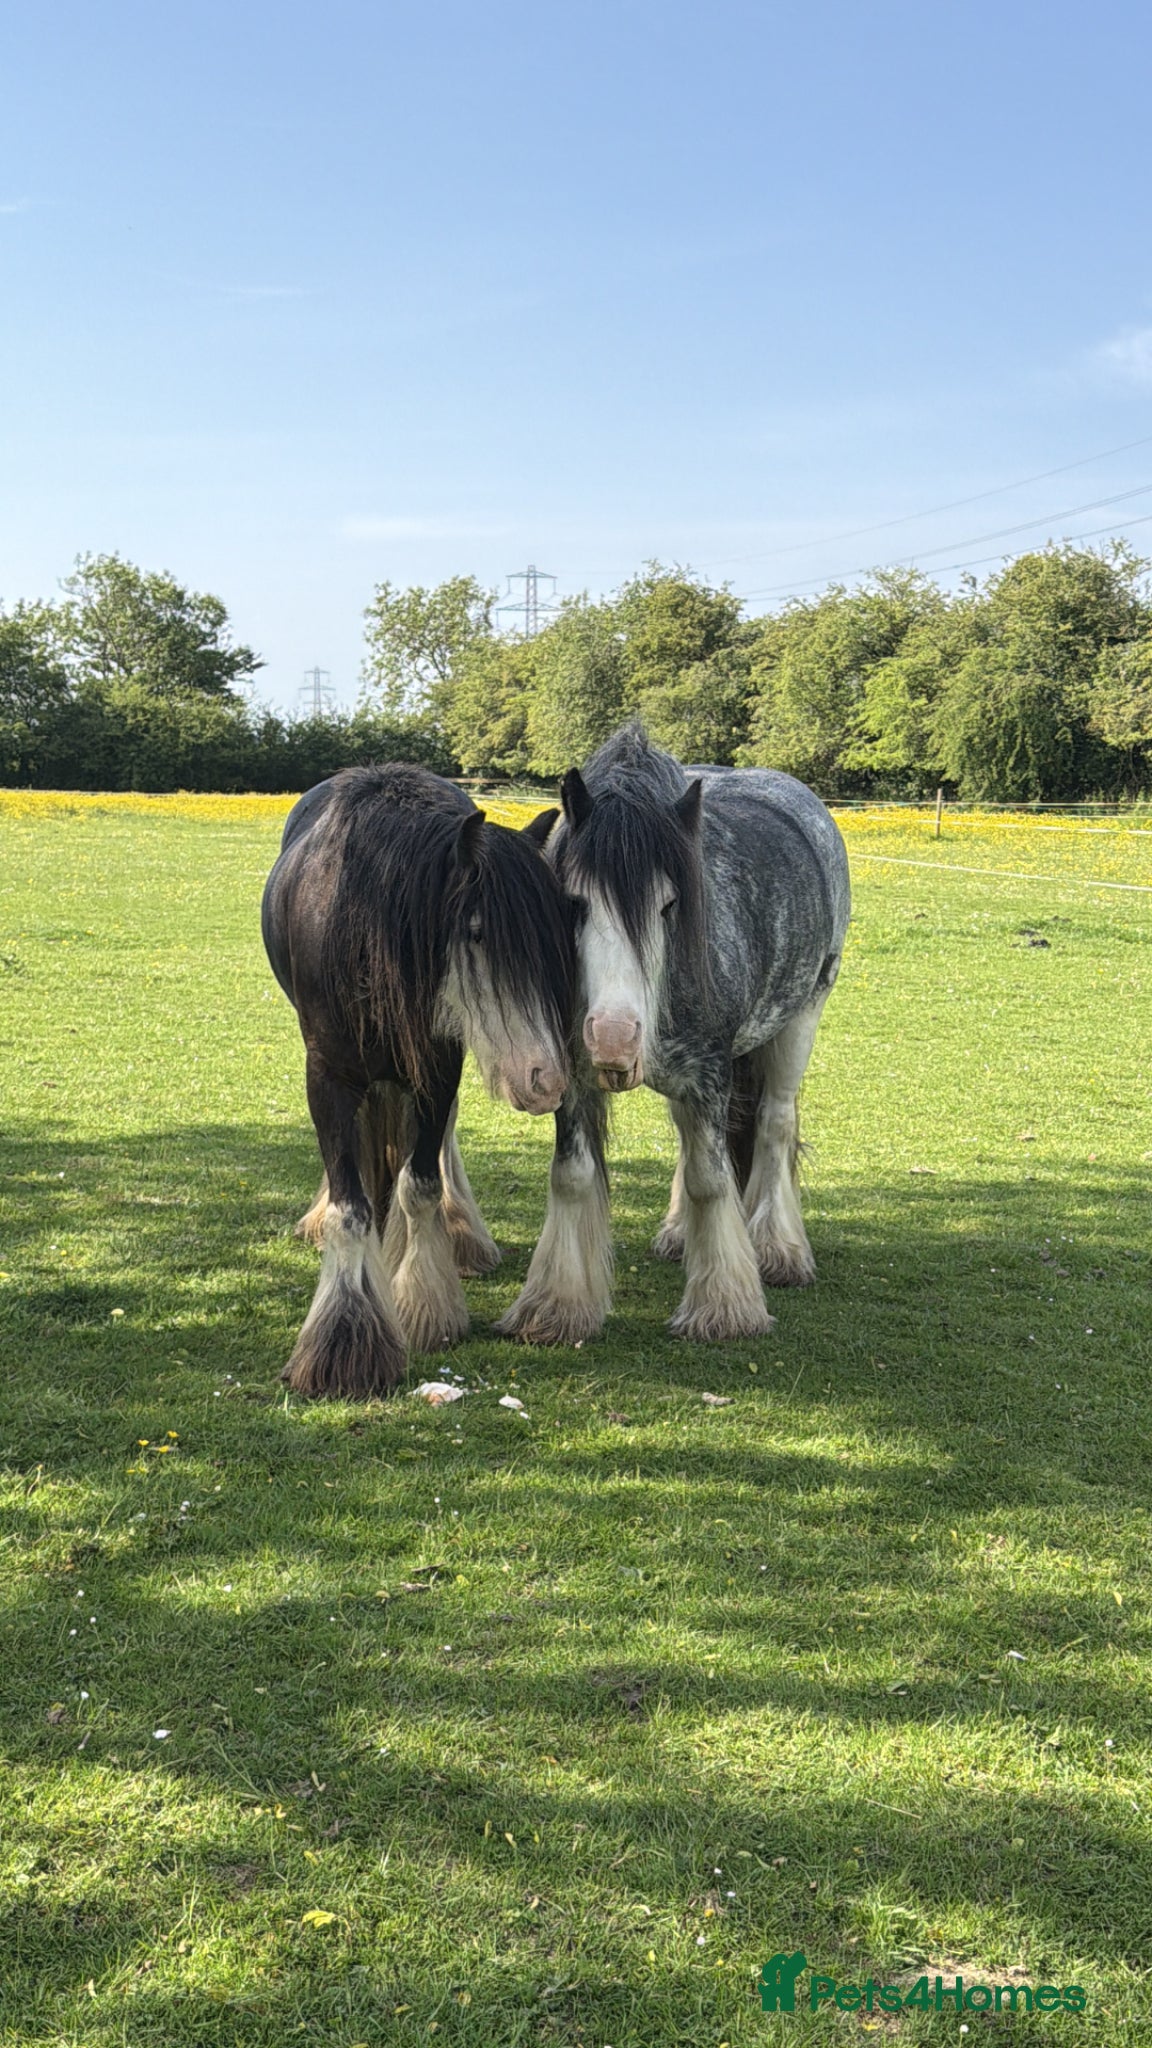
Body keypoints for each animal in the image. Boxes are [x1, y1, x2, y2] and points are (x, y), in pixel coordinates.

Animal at [262, 764, 573, 1397]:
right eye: (476, 931)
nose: (546, 1080)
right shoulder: (327, 1077)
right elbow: (351, 1206)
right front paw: (345, 1346)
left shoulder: (436, 1068)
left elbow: (421, 1183)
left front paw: (425, 1308)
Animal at [495, 726, 850, 1345]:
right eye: (575, 903)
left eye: (668, 905)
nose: (613, 1040)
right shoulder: (573, 1076)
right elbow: (572, 1176)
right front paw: (557, 1306)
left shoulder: (709, 1074)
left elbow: (712, 1179)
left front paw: (725, 1308)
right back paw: (683, 1234)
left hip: (801, 1018)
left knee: (774, 1124)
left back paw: (777, 1250)